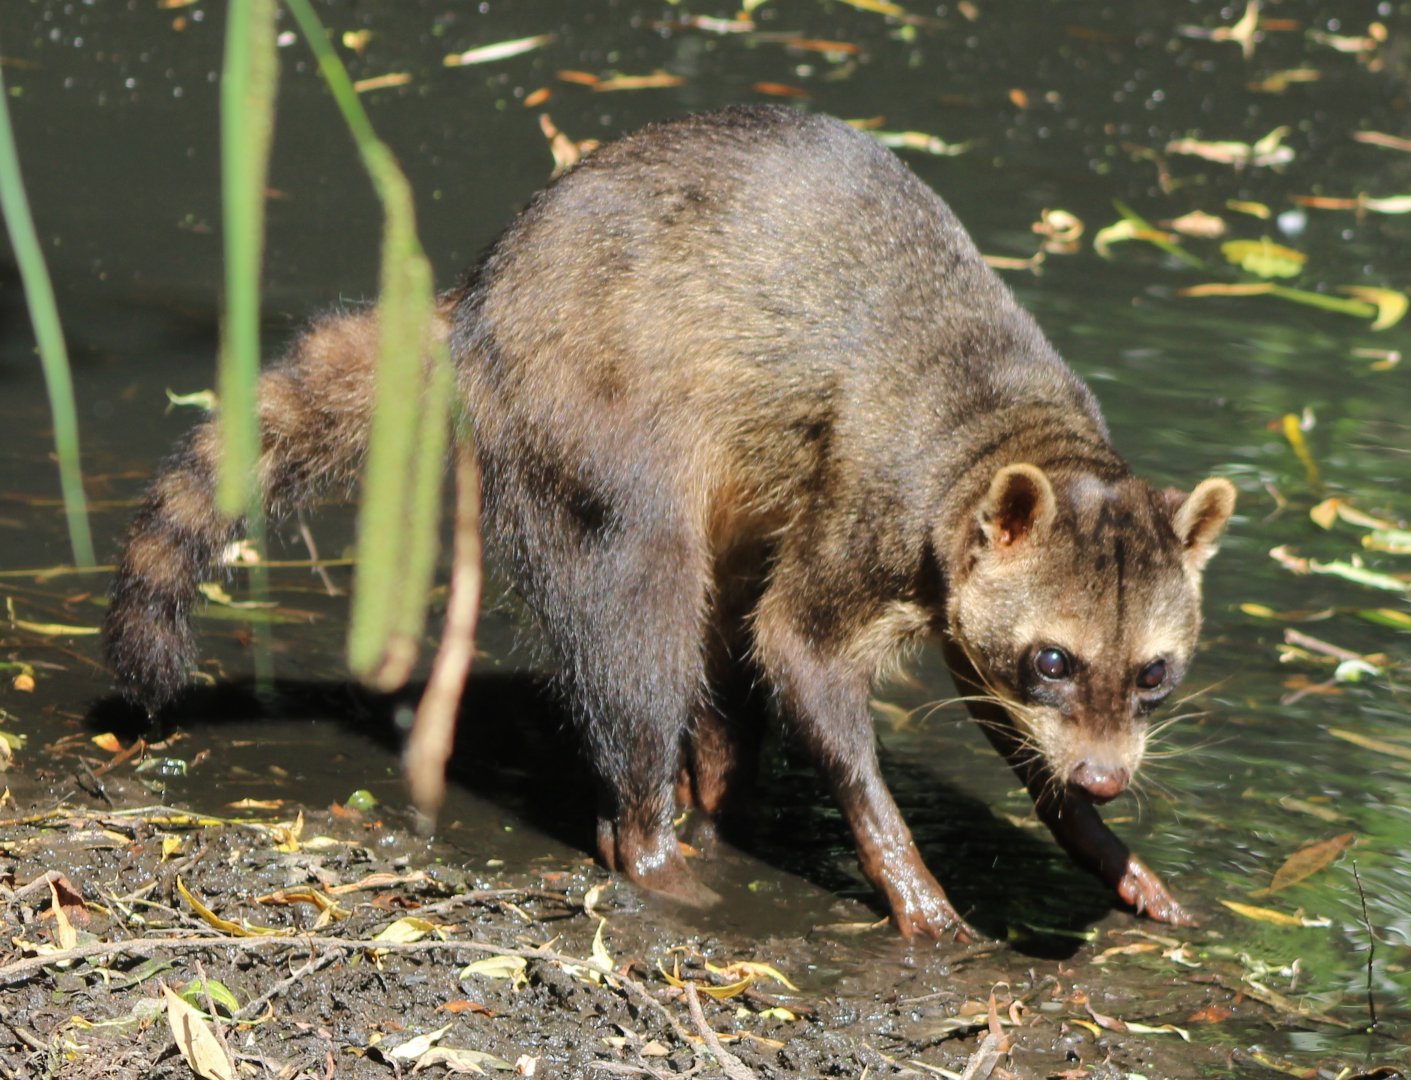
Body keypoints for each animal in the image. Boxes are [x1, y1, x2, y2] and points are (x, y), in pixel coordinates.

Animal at [105, 106, 1235, 938]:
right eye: (1054, 659)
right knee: (641, 607)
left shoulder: (960, 592)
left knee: (718, 626)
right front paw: (904, 869)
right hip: (585, 416)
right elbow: (797, 648)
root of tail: (477, 299)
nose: (1108, 779)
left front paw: (1094, 838)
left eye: (1151, 673)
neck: (1014, 431)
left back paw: (716, 795)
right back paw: (649, 831)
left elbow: (996, 720)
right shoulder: (875, 502)